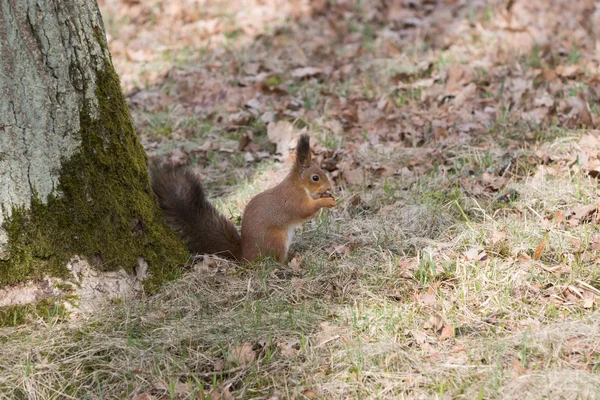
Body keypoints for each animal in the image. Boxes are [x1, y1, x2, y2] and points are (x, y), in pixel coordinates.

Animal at [150, 134, 336, 264]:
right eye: (315, 178)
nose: (329, 187)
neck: (298, 184)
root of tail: (245, 257)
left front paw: (327, 196)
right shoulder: (293, 200)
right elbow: (305, 210)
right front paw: (325, 201)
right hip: (275, 239)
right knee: (275, 260)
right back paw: (287, 261)